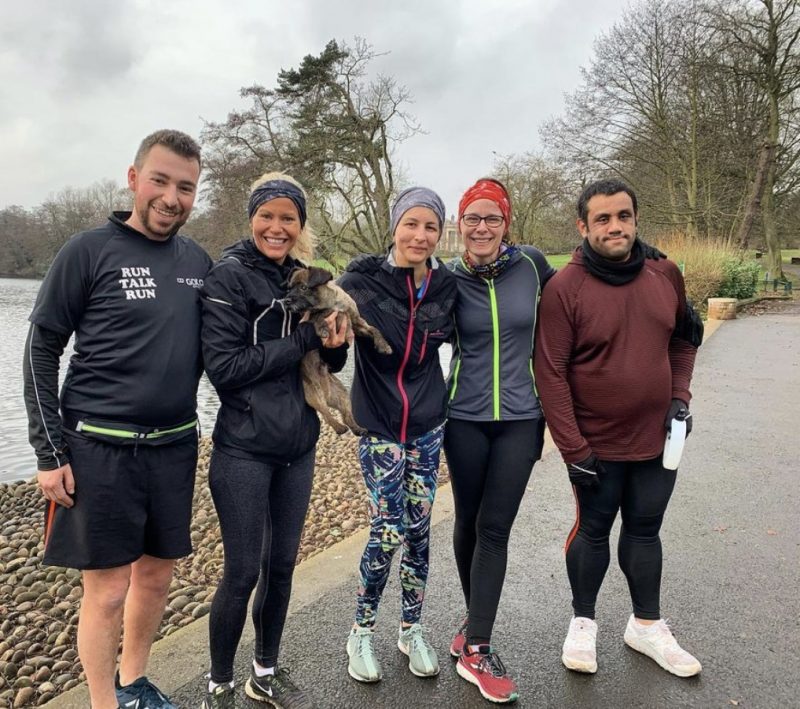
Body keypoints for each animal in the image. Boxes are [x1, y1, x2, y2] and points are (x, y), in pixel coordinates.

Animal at [282, 266, 392, 432]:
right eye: (289, 288)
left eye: (303, 287)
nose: (286, 301)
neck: (332, 303)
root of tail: (327, 394)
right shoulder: (311, 316)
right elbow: (319, 315)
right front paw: (323, 327)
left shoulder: (358, 324)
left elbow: (374, 329)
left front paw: (384, 345)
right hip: (314, 394)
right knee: (326, 415)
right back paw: (339, 428)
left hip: (343, 394)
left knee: (346, 415)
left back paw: (357, 428)